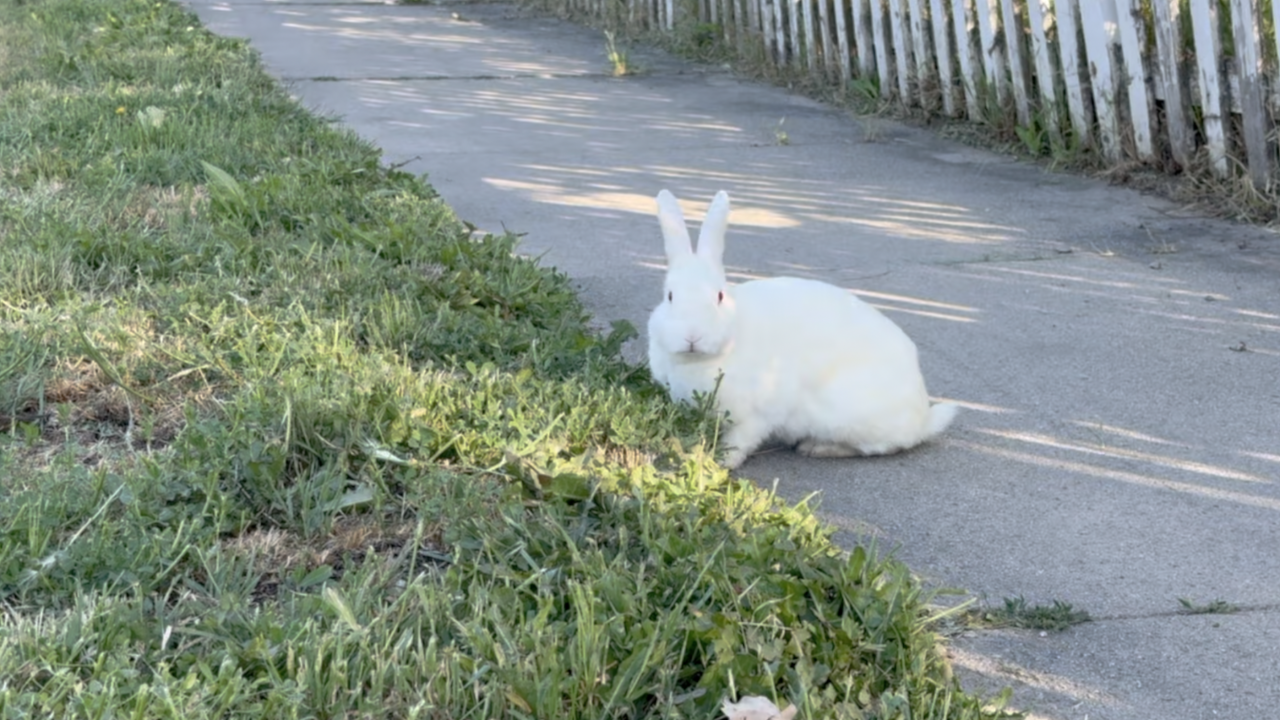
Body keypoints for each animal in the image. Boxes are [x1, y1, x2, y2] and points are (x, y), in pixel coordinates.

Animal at [646, 189, 957, 469]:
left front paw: (722, 462)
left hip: (845, 415)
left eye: (719, 296)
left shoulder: (758, 415)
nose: (692, 336)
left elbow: (741, 440)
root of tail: (922, 418)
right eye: (670, 296)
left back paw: (816, 448)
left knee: (880, 447)